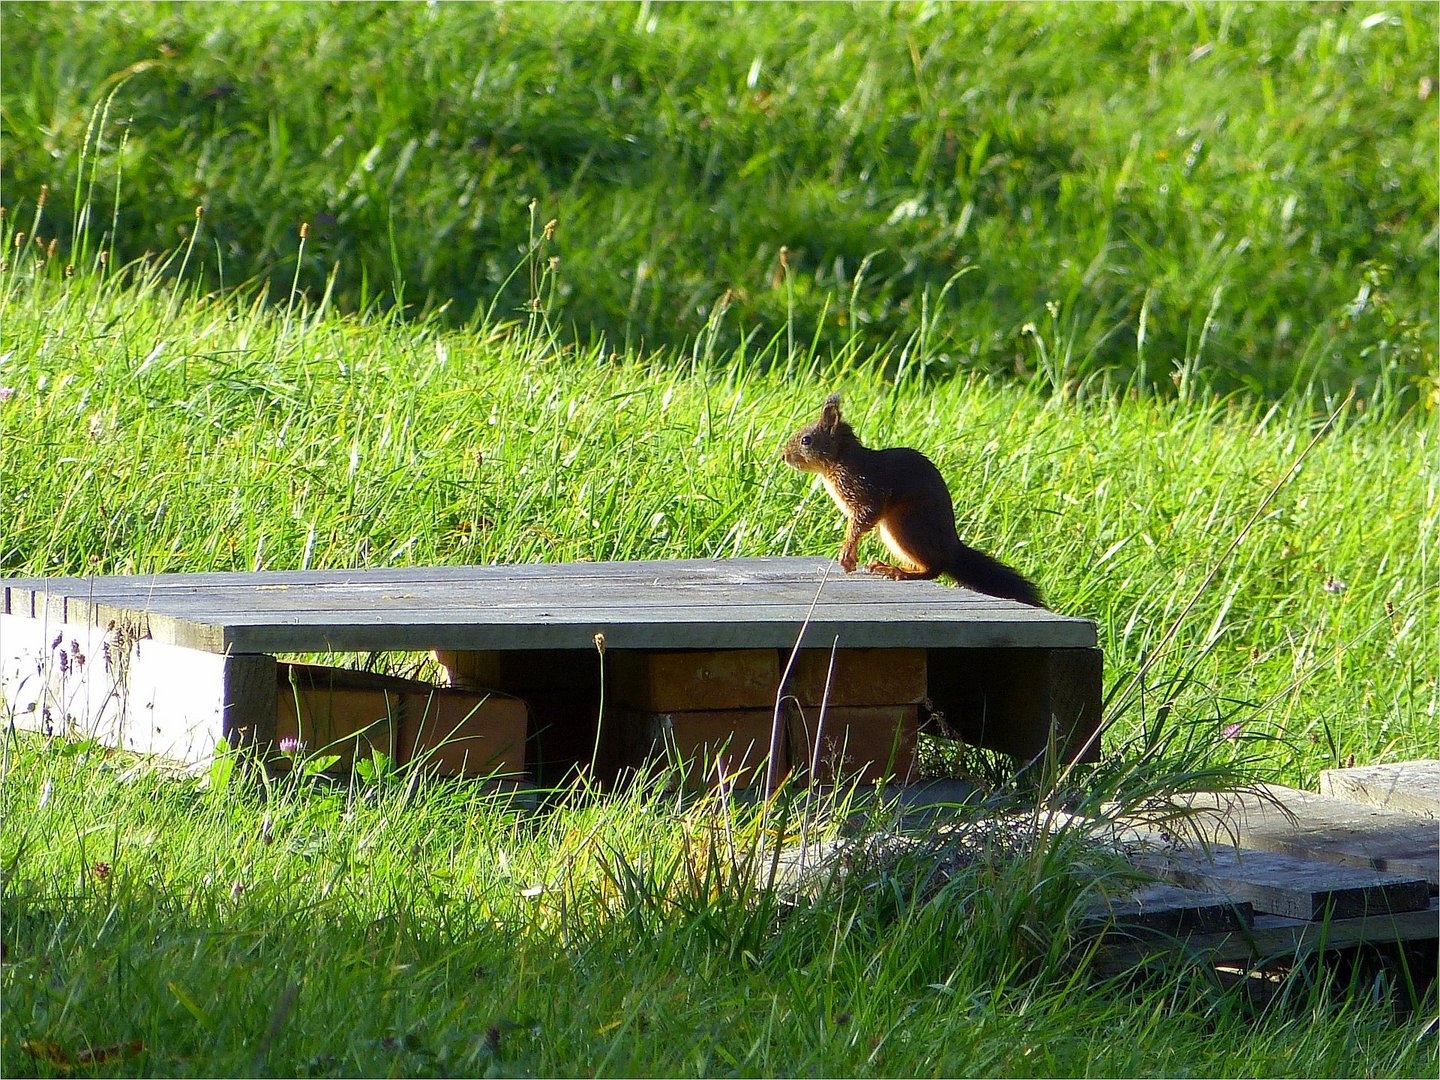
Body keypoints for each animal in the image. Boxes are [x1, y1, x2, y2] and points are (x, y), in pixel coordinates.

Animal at [783, 394, 1042, 610]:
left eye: (806, 440)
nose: (784, 456)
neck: (840, 461)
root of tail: (952, 549)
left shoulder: (867, 489)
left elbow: (864, 518)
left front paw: (847, 552)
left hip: (906, 524)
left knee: (934, 569)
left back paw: (899, 571)